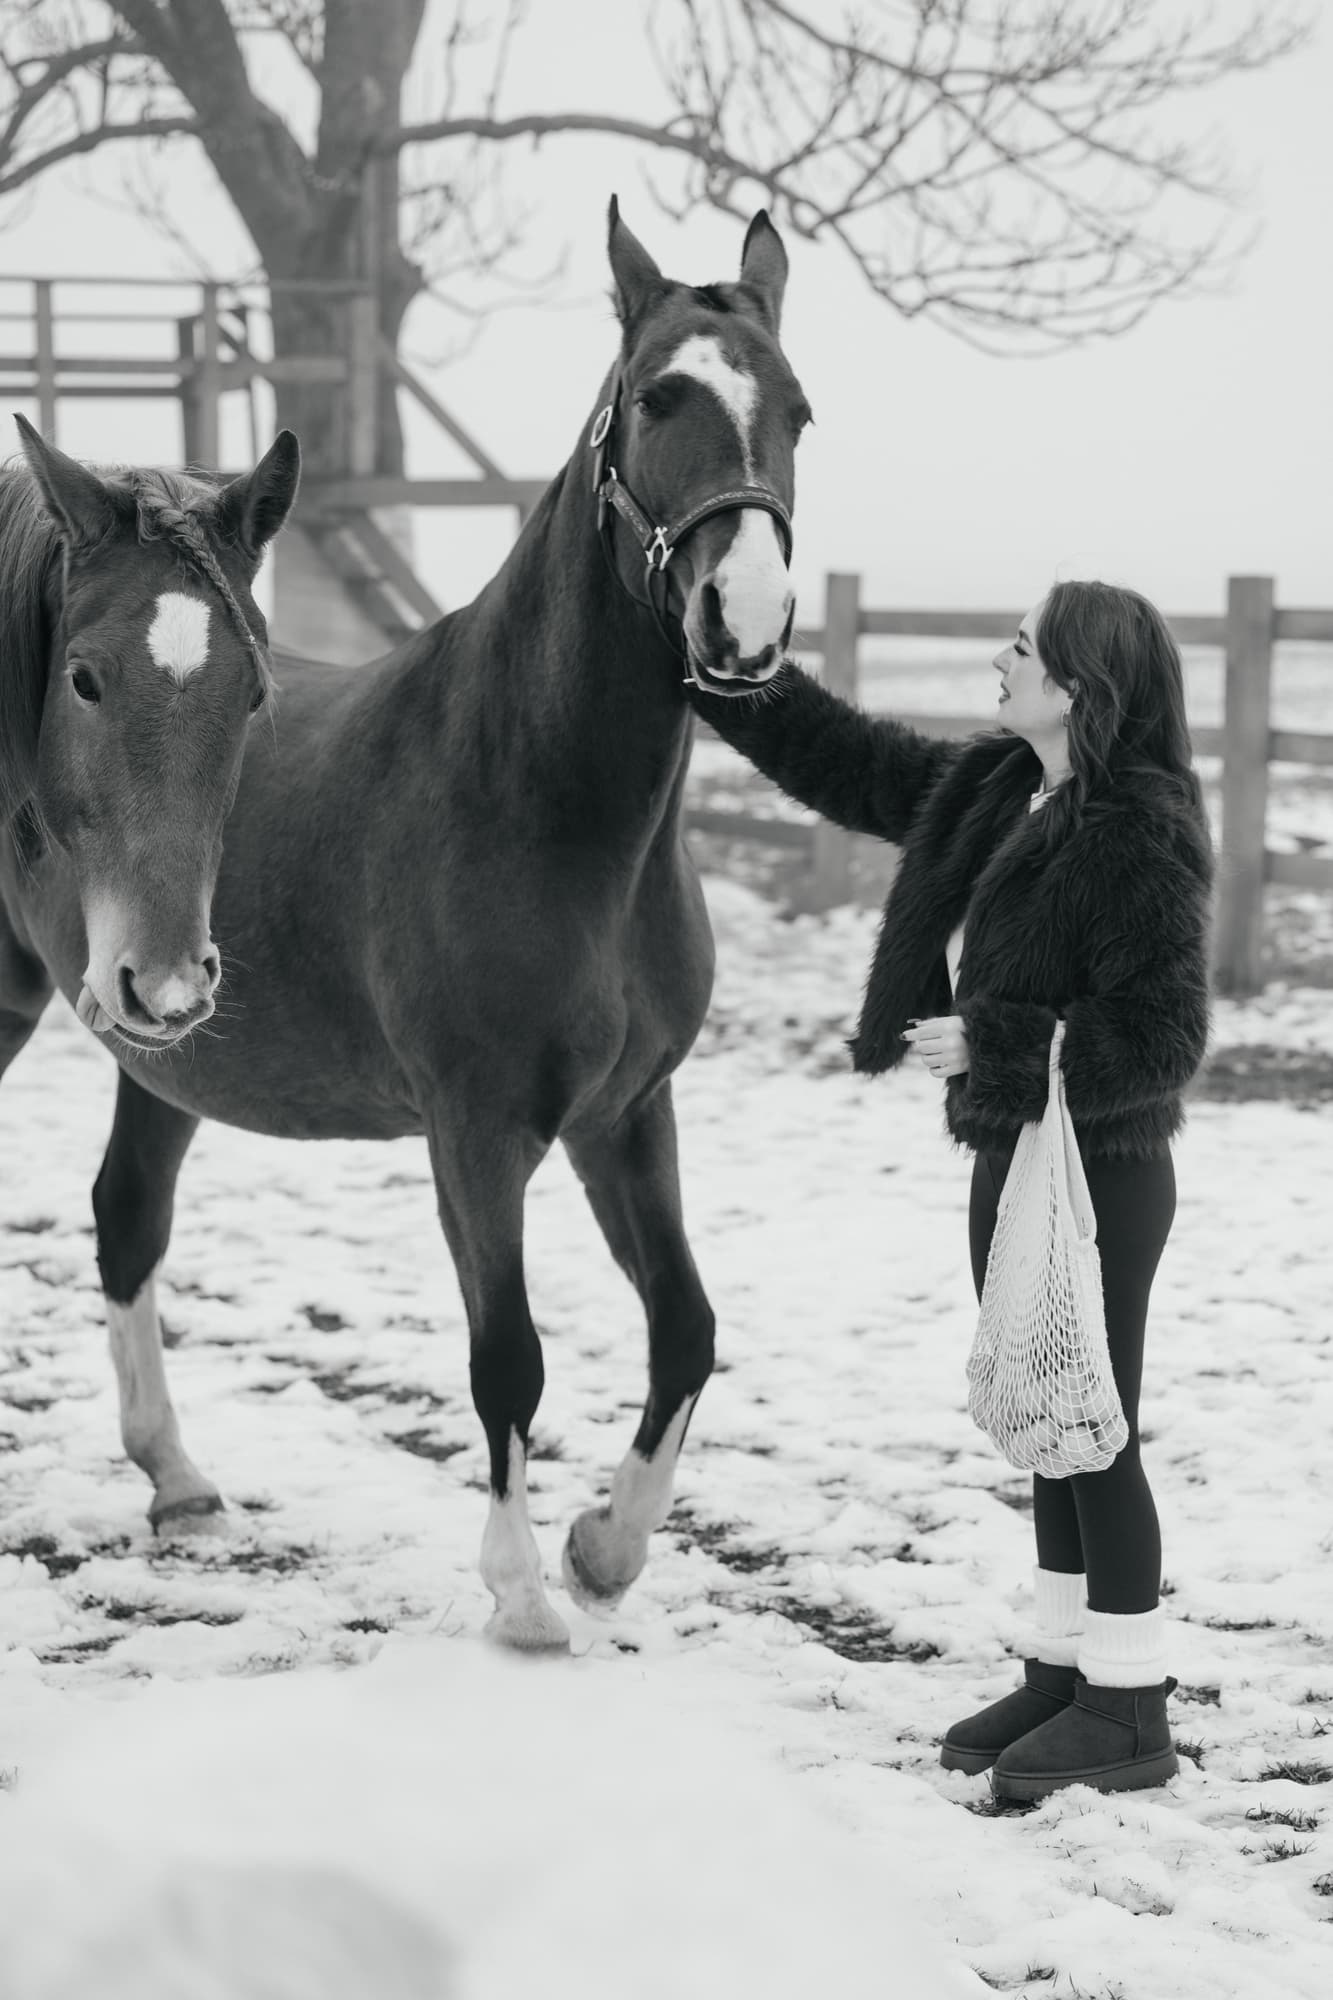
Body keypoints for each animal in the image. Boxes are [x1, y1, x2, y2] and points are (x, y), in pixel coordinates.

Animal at [1, 202, 809, 1649]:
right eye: (656, 399)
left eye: (800, 412)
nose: (748, 619)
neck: (542, 798)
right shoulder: (476, 1132)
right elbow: (509, 1355)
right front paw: (523, 1594)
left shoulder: (624, 1114)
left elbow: (685, 1326)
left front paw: (605, 1548)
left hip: (162, 1037)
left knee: (127, 1217)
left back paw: (178, 1480)